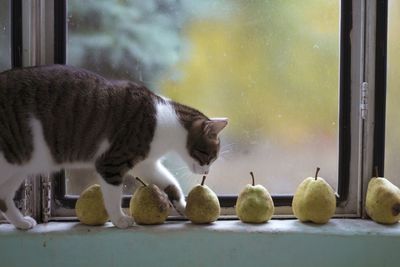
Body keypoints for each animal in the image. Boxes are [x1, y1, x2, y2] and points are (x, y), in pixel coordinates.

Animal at [0, 65, 227, 230]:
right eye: (209, 156)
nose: (207, 171)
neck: (166, 123)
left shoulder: (147, 163)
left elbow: (170, 183)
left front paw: (182, 205)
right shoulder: (111, 163)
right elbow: (112, 196)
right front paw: (119, 220)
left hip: (20, 165)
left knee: (3, 196)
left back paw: (21, 222)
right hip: (10, 159)